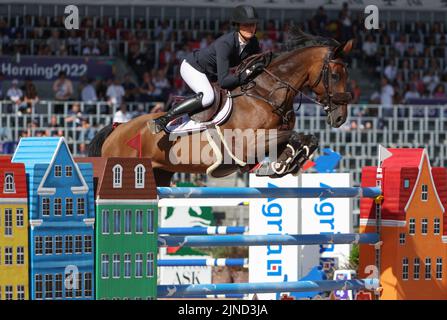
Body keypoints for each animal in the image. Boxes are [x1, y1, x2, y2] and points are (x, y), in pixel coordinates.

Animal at [87, 29, 354, 188]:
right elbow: (293, 135)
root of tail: (117, 129)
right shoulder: (246, 145)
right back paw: (159, 123)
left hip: (161, 174)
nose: (340, 118)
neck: (267, 95)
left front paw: (285, 163)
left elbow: (304, 138)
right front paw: (285, 162)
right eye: (334, 74)